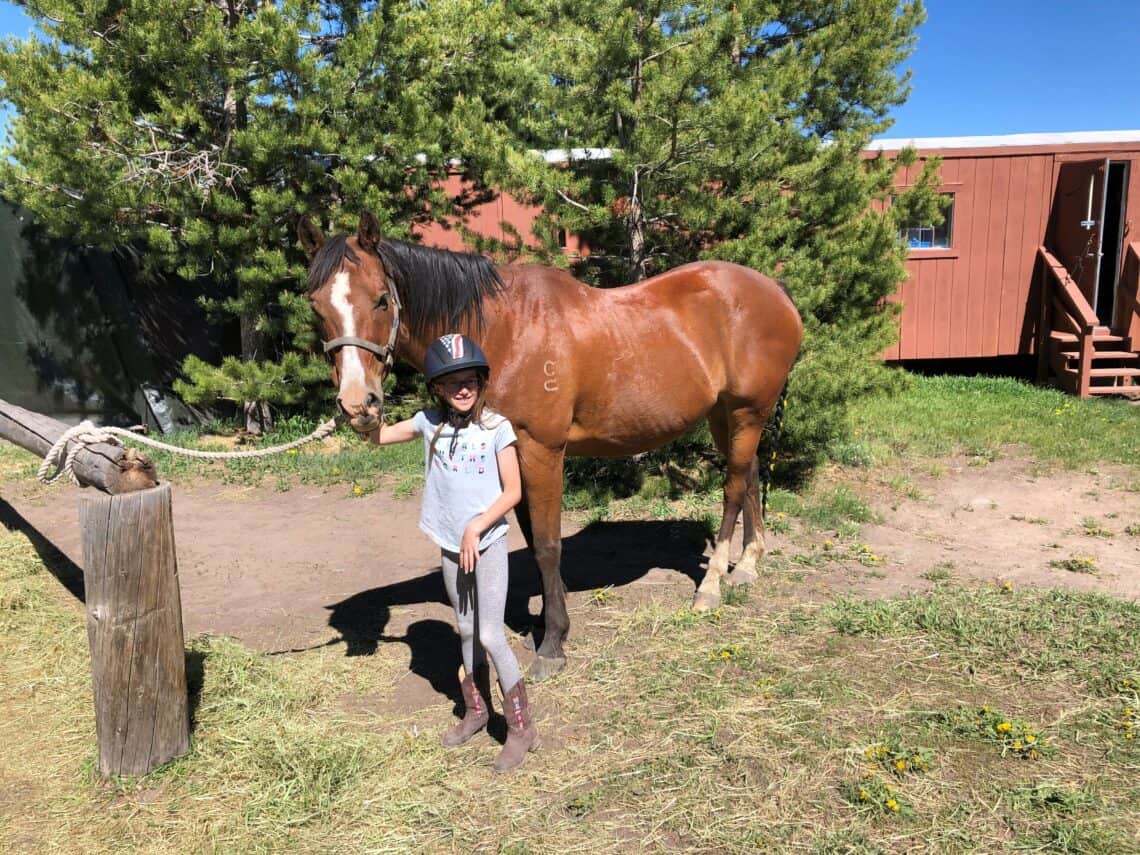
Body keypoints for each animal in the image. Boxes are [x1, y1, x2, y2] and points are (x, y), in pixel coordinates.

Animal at [300, 210, 802, 679]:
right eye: (316, 308)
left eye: (382, 300)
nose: (358, 404)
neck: (502, 330)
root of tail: (775, 290)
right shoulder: (514, 455)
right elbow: (528, 532)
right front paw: (542, 622)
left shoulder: (541, 449)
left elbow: (546, 544)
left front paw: (553, 643)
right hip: (726, 415)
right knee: (749, 474)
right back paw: (748, 565)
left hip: (747, 411)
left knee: (733, 488)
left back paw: (712, 584)